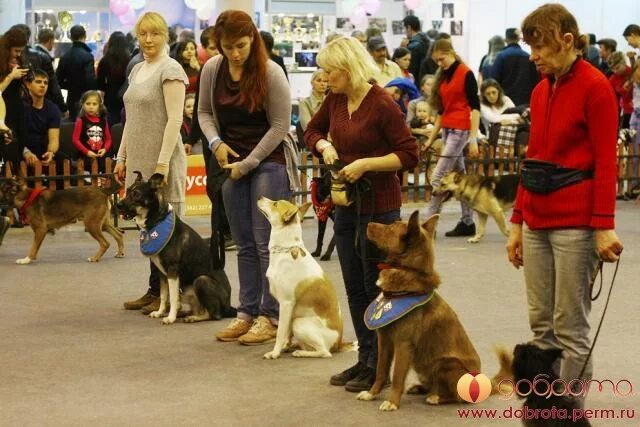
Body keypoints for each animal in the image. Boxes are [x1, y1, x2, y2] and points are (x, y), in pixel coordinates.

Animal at [115, 172, 235, 326]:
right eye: (128, 190)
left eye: (136, 194)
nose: (118, 205)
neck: (157, 221)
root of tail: (229, 307)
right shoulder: (162, 273)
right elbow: (163, 295)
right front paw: (160, 312)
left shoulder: (172, 271)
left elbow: (172, 298)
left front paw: (170, 318)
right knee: (199, 309)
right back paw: (186, 314)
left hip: (202, 280)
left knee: (213, 314)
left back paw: (192, 317)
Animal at [256, 199, 352, 360]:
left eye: (275, 204)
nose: (260, 198)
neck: (286, 250)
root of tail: (339, 344)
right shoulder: (288, 309)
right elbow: (286, 334)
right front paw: (284, 347)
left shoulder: (286, 304)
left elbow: (280, 333)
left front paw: (275, 353)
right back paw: (296, 347)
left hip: (299, 323)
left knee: (324, 352)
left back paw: (300, 352)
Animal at [356, 212, 510, 412]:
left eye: (390, 228)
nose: (367, 224)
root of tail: (484, 384)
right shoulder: (385, 341)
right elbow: (381, 372)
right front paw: (371, 393)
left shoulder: (403, 344)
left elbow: (396, 377)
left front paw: (392, 402)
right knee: (432, 385)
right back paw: (420, 388)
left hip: (446, 364)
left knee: (457, 397)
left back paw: (435, 398)